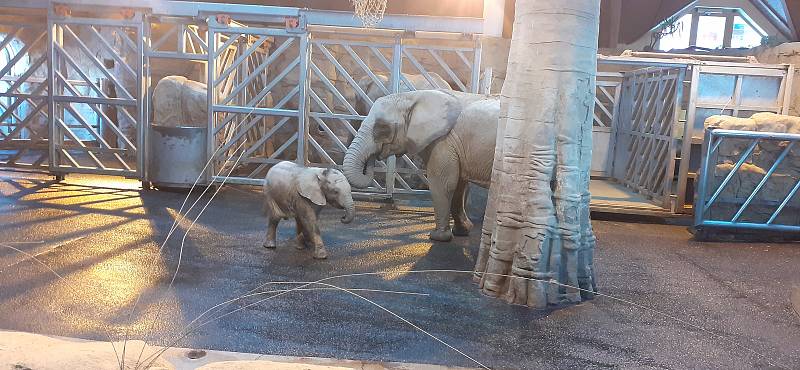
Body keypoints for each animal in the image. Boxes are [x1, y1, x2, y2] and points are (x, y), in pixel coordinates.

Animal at [344, 89, 500, 240]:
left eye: (382, 127)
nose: (371, 159)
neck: (413, 96)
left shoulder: (443, 142)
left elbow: (444, 184)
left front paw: (437, 237)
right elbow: (459, 186)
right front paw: (462, 231)